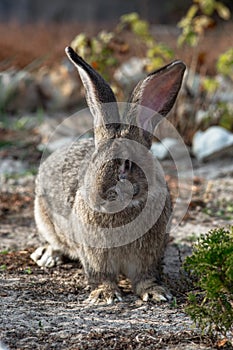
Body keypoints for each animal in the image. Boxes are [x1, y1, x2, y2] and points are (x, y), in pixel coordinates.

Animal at [30, 45, 186, 304]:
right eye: (93, 161)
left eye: (127, 165)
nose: (97, 196)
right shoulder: (95, 255)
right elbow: (100, 275)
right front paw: (105, 294)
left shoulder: (148, 257)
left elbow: (146, 276)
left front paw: (156, 293)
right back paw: (47, 256)